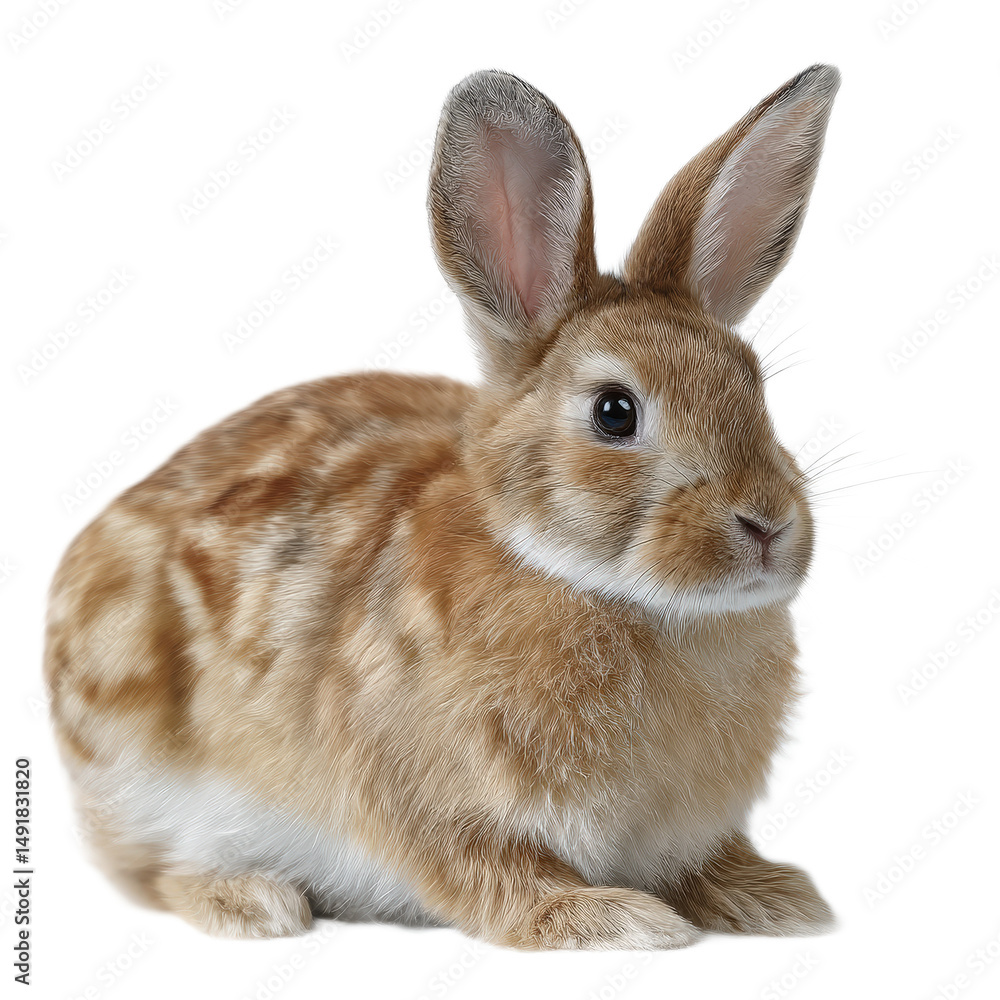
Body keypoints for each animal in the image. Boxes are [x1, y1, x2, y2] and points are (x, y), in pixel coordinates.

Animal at [45, 64, 840, 950]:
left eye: (754, 386)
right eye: (614, 412)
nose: (767, 524)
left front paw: (774, 899)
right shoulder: (423, 797)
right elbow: (489, 874)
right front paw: (616, 920)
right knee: (154, 875)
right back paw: (254, 904)